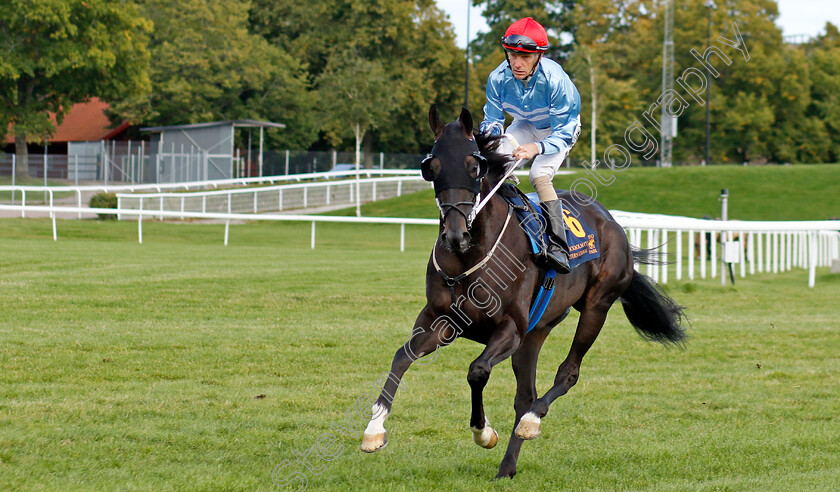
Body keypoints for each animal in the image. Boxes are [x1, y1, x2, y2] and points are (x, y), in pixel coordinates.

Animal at [360, 105, 688, 478]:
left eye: (474, 166)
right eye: (432, 167)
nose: (455, 235)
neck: (469, 255)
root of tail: (612, 222)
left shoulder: (511, 328)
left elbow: (477, 370)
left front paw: (483, 432)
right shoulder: (439, 320)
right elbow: (402, 356)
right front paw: (374, 430)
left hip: (596, 307)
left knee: (566, 374)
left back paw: (531, 422)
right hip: (536, 332)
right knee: (525, 394)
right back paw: (508, 466)